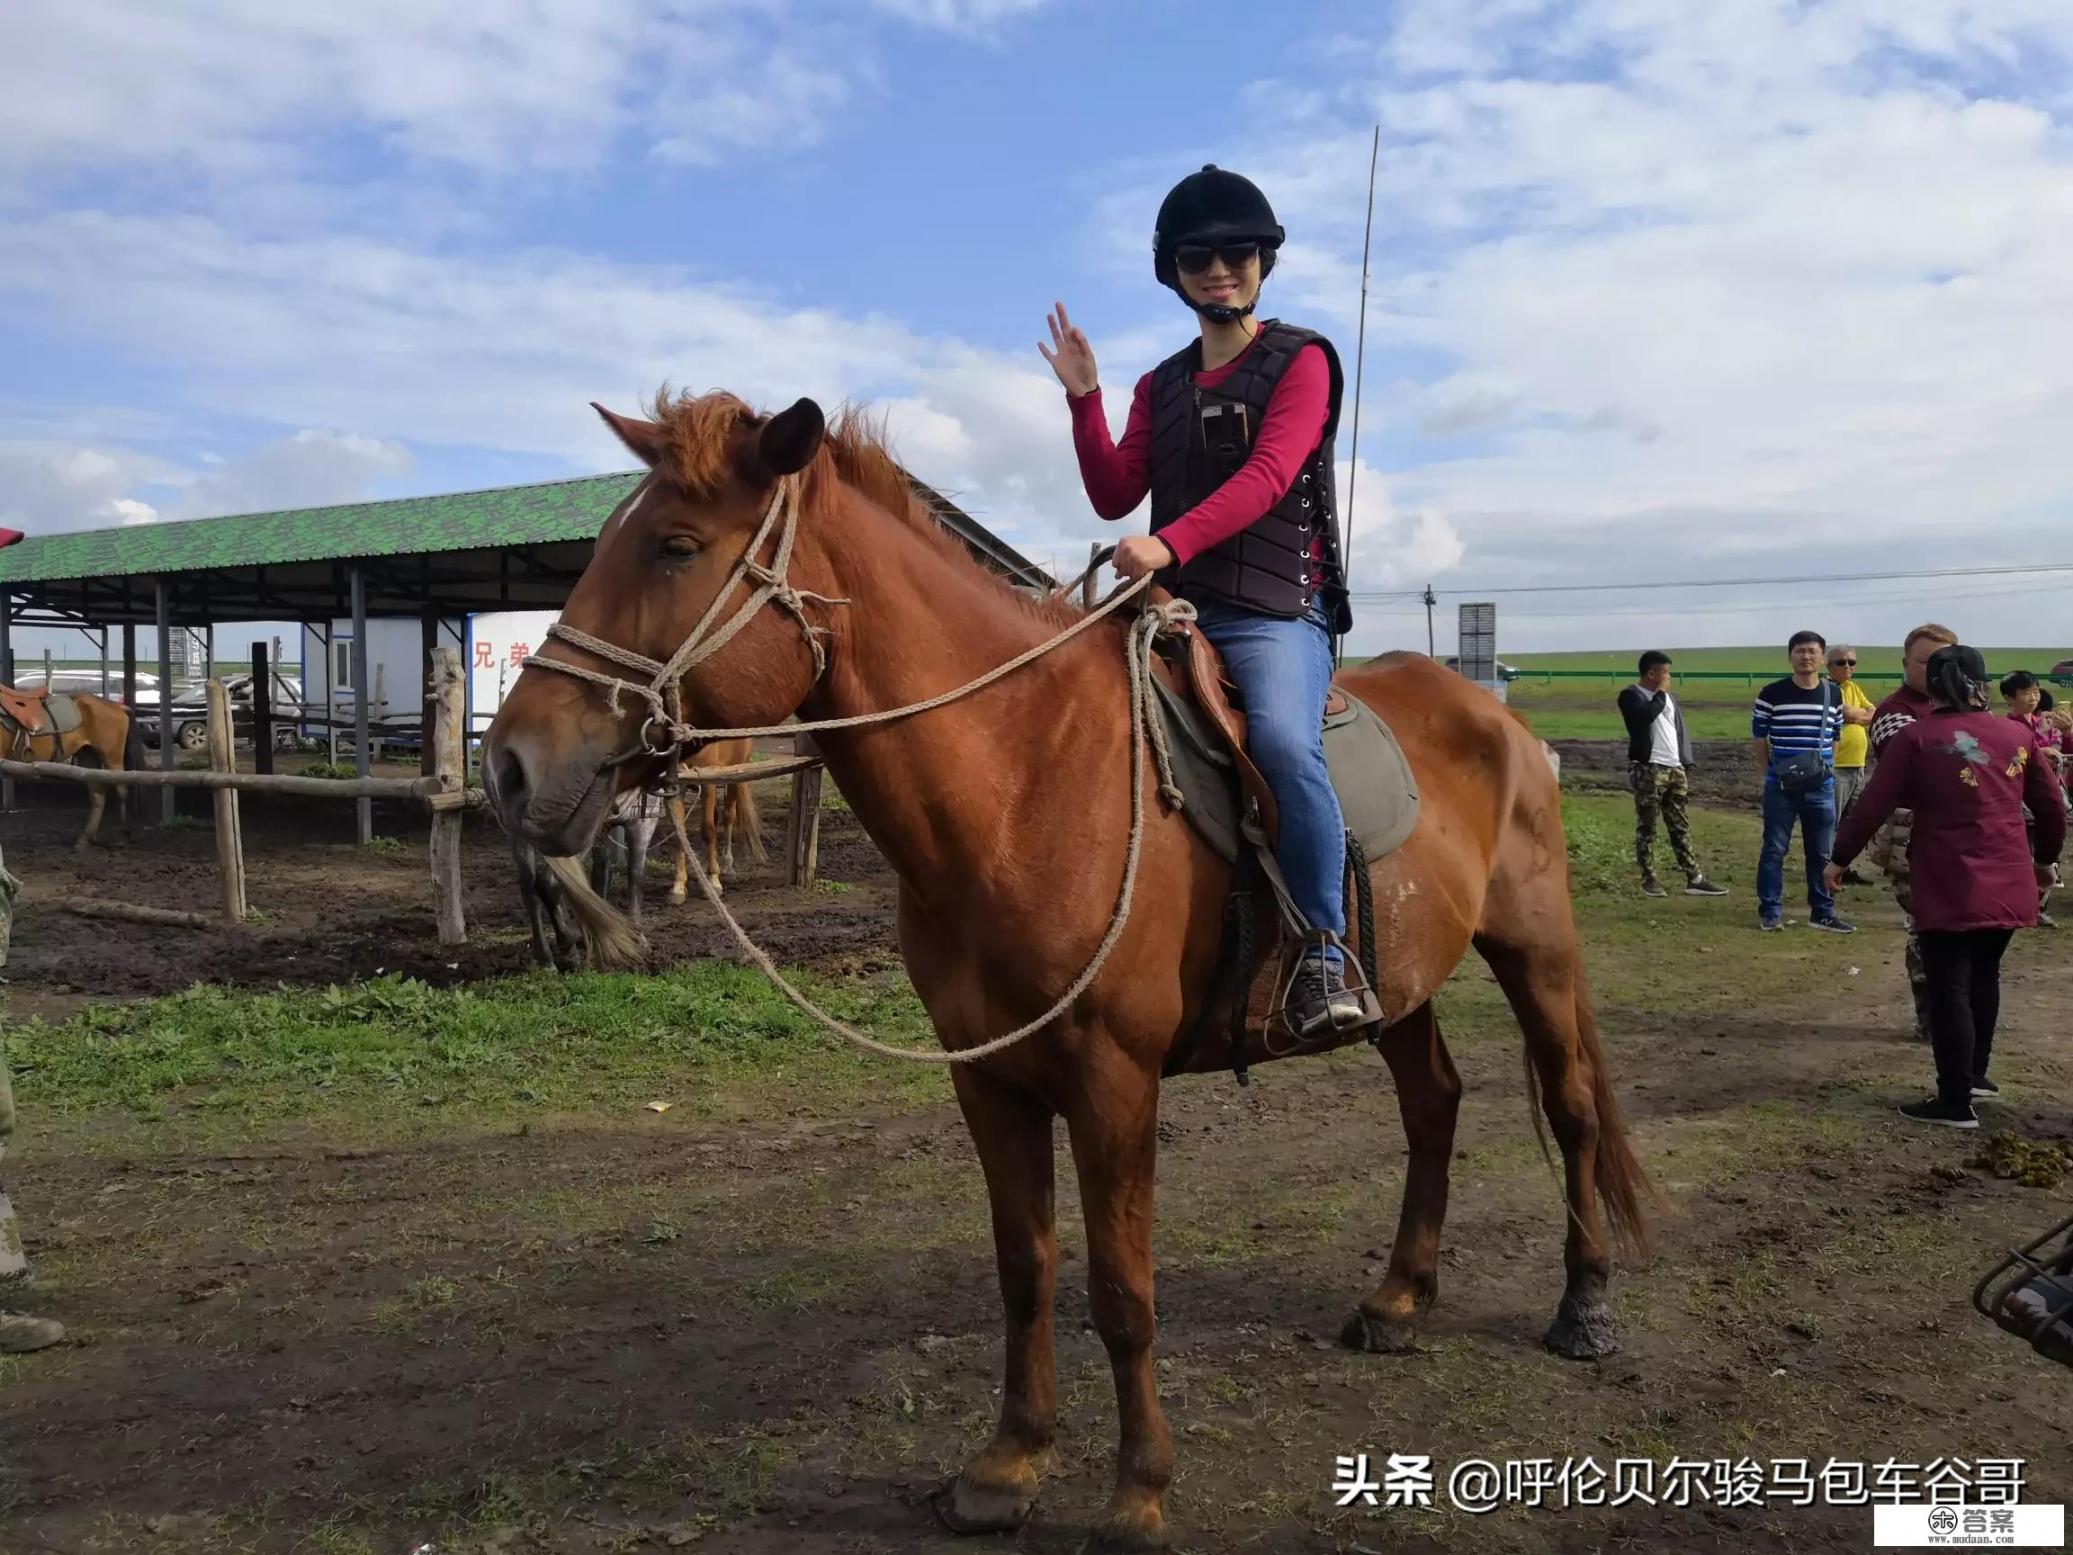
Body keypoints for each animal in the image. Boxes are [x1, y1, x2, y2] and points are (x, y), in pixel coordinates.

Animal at [0, 688, 142, 845]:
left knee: (121, 790)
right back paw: (85, 839)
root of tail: (118, 706)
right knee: (98, 796)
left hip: (113, 759)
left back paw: (122, 835)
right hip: (88, 759)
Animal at [485, 391, 1650, 1555]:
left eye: (676, 547)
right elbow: (1025, 1267)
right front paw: (1009, 1462)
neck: (1023, 778)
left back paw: (1584, 1306)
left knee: (1571, 1106)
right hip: (1394, 982)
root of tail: (1497, 718)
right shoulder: (988, 1078)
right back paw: (1401, 1297)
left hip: (1536, 950)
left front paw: (1138, 1492)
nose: (510, 766)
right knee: (1434, 1103)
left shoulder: (1113, 1081)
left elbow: (1122, 1290)